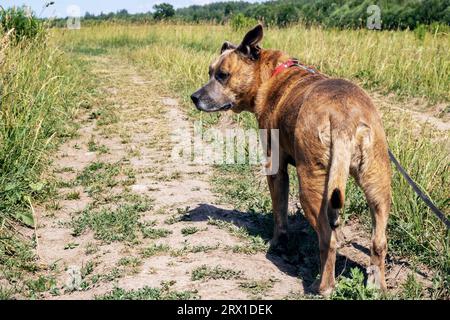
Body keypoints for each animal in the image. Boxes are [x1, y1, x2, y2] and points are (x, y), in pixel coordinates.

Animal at [190, 24, 390, 296]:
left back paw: (323, 286)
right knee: (378, 241)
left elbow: (279, 211)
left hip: (310, 186)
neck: (269, 75)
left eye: (222, 75)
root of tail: (344, 117)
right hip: (377, 183)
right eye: (210, 72)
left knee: (327, 239)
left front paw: (277, 243)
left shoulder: (276, 168)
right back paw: (377, 287)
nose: (194, 97)